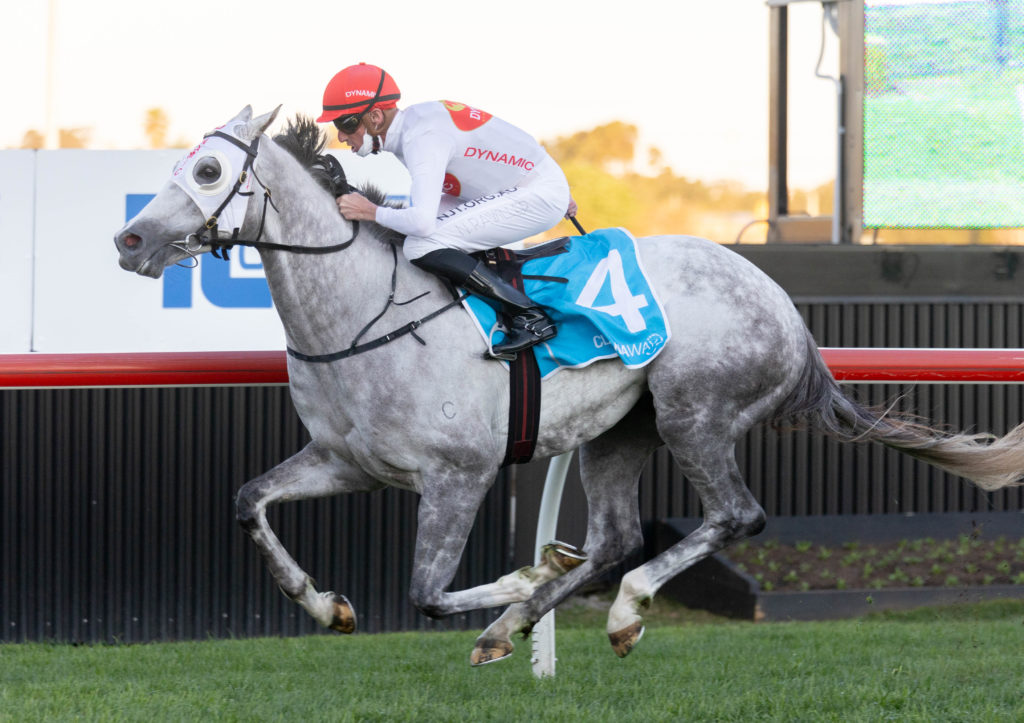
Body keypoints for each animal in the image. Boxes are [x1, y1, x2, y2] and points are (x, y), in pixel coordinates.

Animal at [114, 106, 1024, 665]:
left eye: (206, 170)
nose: (129, 240)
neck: (363, 309)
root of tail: (787, 312)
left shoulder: (459, 472)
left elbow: (425, 591)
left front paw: (520, 582)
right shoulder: (346, 460)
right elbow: (250, 501)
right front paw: (324, 605)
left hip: (696, 413)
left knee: (734, 516)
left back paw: (617, 610)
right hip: (620, 432)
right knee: (617, 536)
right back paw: (532, 618)